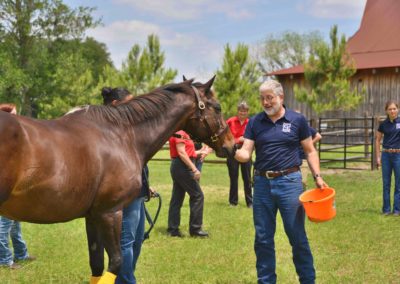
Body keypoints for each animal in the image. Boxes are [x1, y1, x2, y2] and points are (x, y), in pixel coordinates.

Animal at [0, 77, 234, 284]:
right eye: (218, 107)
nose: (232, 145)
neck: (121, 134)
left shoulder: (93, 216)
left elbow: (96, 265)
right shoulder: (110, 212)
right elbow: (116, 262)